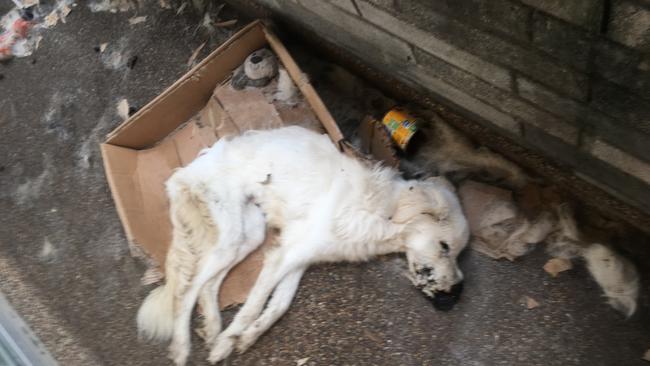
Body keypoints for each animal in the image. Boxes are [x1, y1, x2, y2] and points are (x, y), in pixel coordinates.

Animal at [138, 125, 466, 364]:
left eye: (459, 254)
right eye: (445, 247)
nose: (455, 296)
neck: (379, 209)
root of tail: (186, 170)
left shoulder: (298, 257)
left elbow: (278, 306)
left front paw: (246, 337)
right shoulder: (283, 255)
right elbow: (252, 306)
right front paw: (227, 343)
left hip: (248, 234)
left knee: (207, 285)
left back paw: (212, 326)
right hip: (230, 235)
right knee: (187, 290)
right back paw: (183, 348)